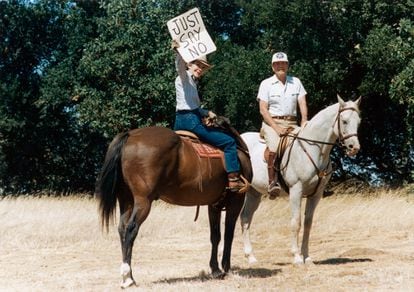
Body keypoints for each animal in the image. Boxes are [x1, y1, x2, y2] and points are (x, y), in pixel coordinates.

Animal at [96, 125, 252, 288]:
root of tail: (130, 136)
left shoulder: (214, 205)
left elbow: (215, 236)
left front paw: (215, 269)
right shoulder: (236, 202)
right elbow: (229, 235)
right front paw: (226, 268)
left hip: (126, 200)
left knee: (122, 228)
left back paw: (128, 276)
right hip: (143, 201)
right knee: (130, 229)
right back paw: (127, 277)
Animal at [241, 95, 360, 264]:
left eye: (358, 121)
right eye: (344, 121)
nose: (354, 148)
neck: (314, 149)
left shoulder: (315, 195)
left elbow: (308, 223)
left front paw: (307, 257)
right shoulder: (296, 191)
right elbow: (296, 222)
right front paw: (297, 257)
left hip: (253, 193)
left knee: (245, 218)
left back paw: (251, 257)